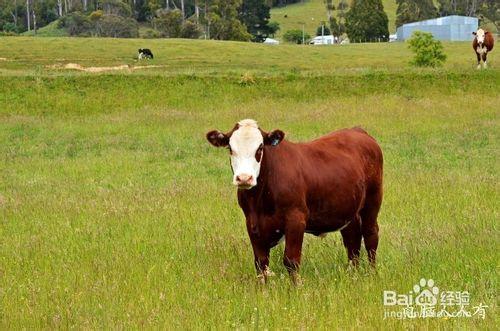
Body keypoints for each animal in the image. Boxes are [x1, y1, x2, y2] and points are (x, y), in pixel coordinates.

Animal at [206, 119, 382, 286]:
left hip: (373, 200)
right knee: (352, 239)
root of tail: (357, 130)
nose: (244, 178)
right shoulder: (251, 222)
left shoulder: (296, 218)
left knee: (370, 235)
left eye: (260, 148)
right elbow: (261, 262)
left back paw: (372, 273)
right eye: (230, 148)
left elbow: (291, 260)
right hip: (348, 209)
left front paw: (295, 289)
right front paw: (263, 290)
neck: (259, 199)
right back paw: (354, 274)